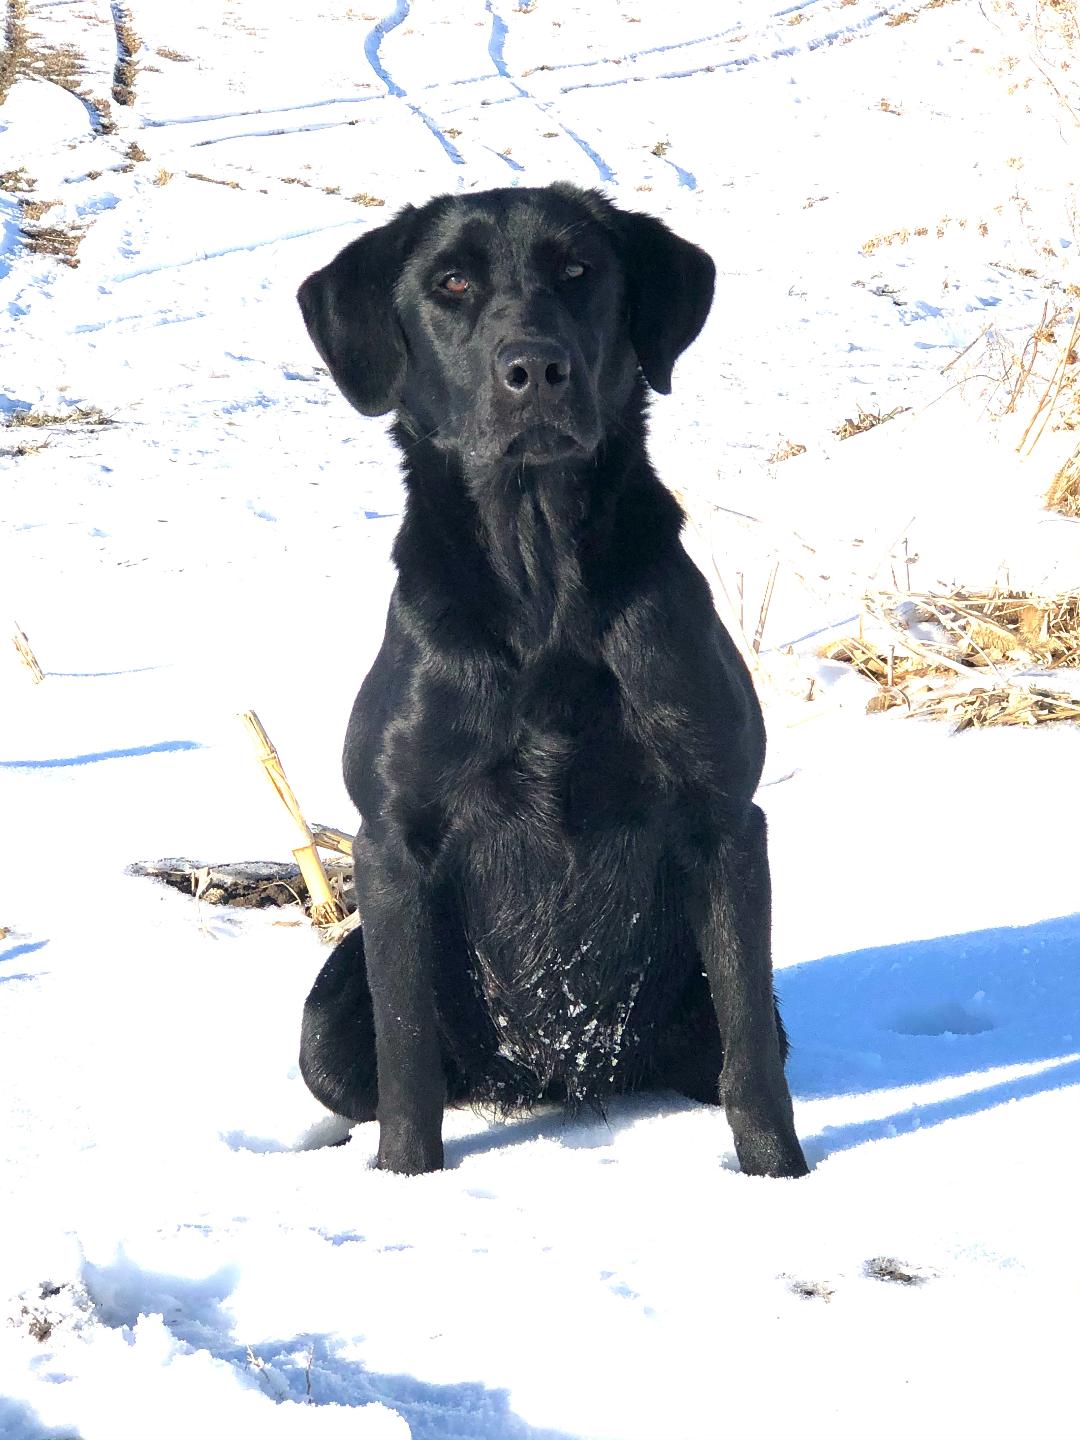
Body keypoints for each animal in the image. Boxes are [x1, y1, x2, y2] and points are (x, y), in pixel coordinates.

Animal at [300, 185, 806, 1175]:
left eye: (579, 269)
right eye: (451, 282)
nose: (535, 367)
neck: (542, 585)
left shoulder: (726, 818)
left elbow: (752, 1062)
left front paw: (781, 1179)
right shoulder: (392, 842)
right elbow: (408, 1058)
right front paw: (406, 1182)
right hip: (327, 1014)